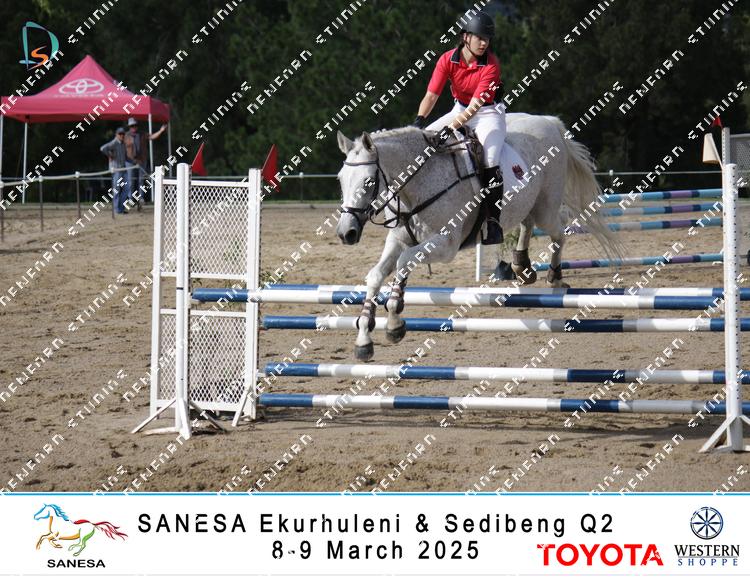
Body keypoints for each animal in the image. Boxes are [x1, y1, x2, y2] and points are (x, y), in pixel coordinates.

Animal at [335, 114, 623, 361]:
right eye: (340, 179)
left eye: (368, 182)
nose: (345, 233)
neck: (417, 187)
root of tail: (549, 121)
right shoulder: (398, 240)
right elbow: (376, 275)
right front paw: (364, 338)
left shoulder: (446, 245)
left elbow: (405, 261)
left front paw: (394, 322)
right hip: (528, 203)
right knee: (527, 223)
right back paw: (521, 264)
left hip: (546, 208)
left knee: (559, 231)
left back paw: (555, 276)